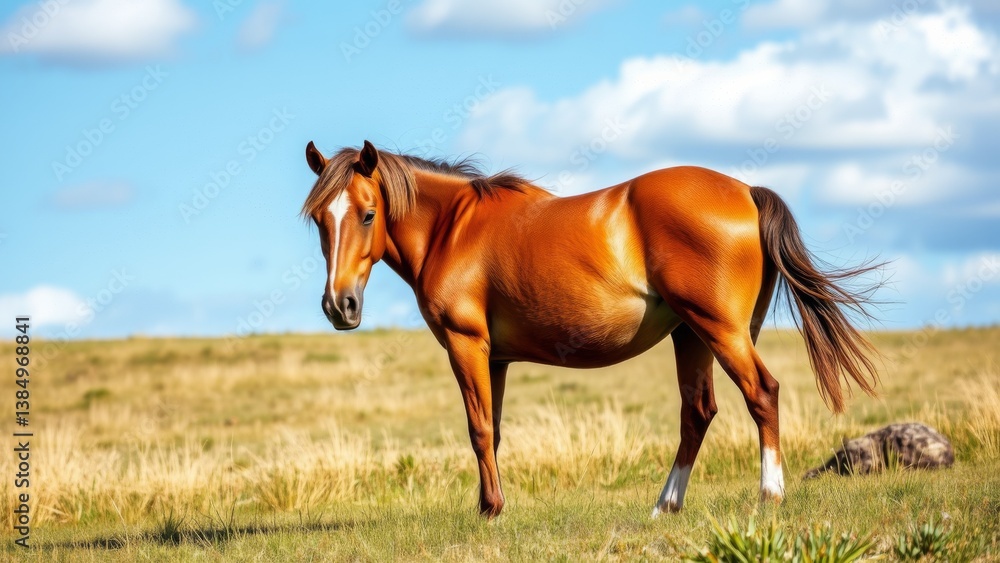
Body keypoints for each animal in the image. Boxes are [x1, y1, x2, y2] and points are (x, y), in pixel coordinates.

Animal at [300, 140, 880, 518]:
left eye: (368, 214)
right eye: (321, 221)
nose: (339, 306)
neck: (454, 228)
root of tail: (746, 191)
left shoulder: (466, 346)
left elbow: (478, 428)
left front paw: (491, 509)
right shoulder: (496, 358)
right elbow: (494, 429)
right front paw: (491, 505)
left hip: (721, 332)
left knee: (762, 393)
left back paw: (769, 494)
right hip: (691, 336)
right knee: (698, 413)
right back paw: (665, 505)